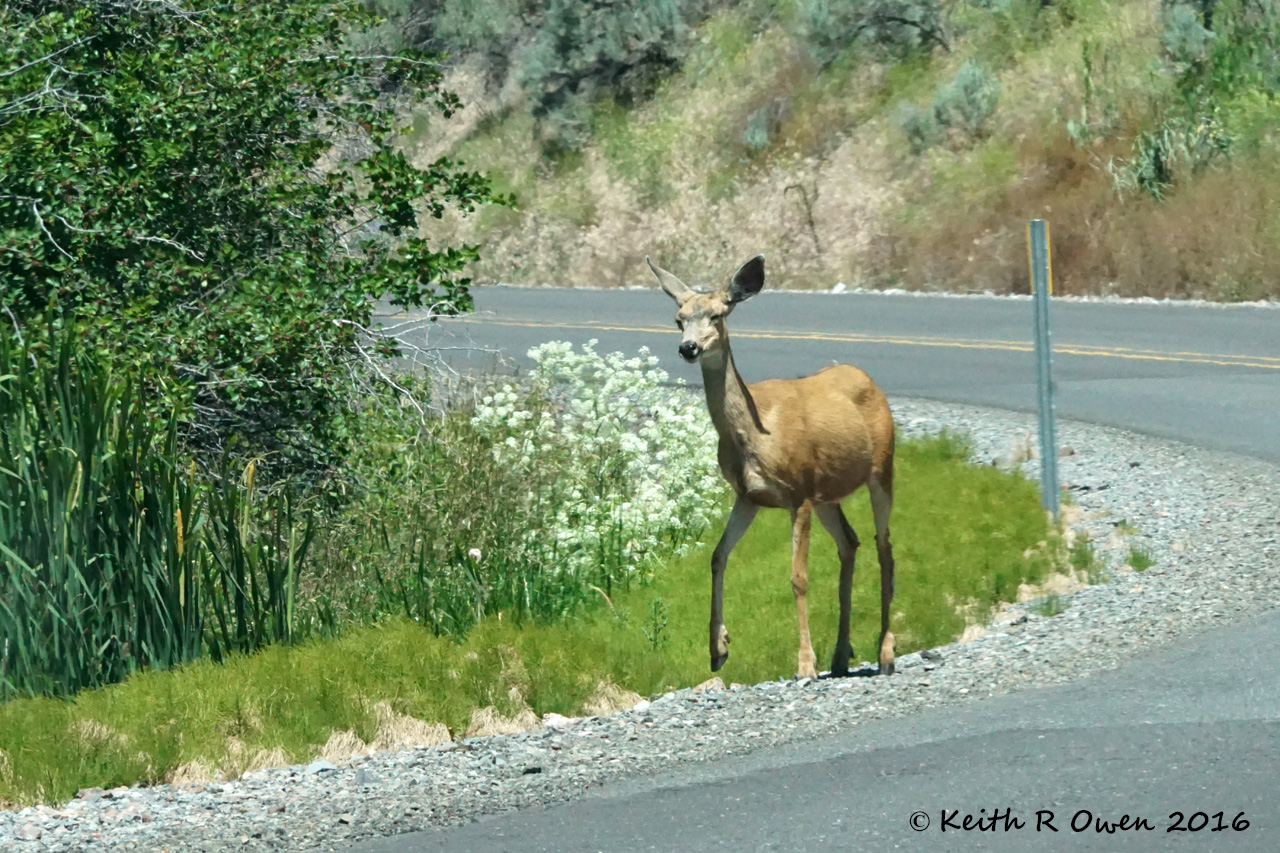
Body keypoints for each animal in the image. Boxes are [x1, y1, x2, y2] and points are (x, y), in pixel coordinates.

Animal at [647, 254, 897, 679]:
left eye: (717, 314)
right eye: (679, 318)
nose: (688, 347)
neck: (755, 433)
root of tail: (870, 381)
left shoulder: (799, 493)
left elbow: (798, 578)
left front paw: (805, 663)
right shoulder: (748, 495)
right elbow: (717, 556)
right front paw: (718, 648)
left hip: (882, 467)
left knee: (885, 549)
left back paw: (884, 653)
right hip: (828, 492)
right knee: (850, 544)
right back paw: (841, 655)